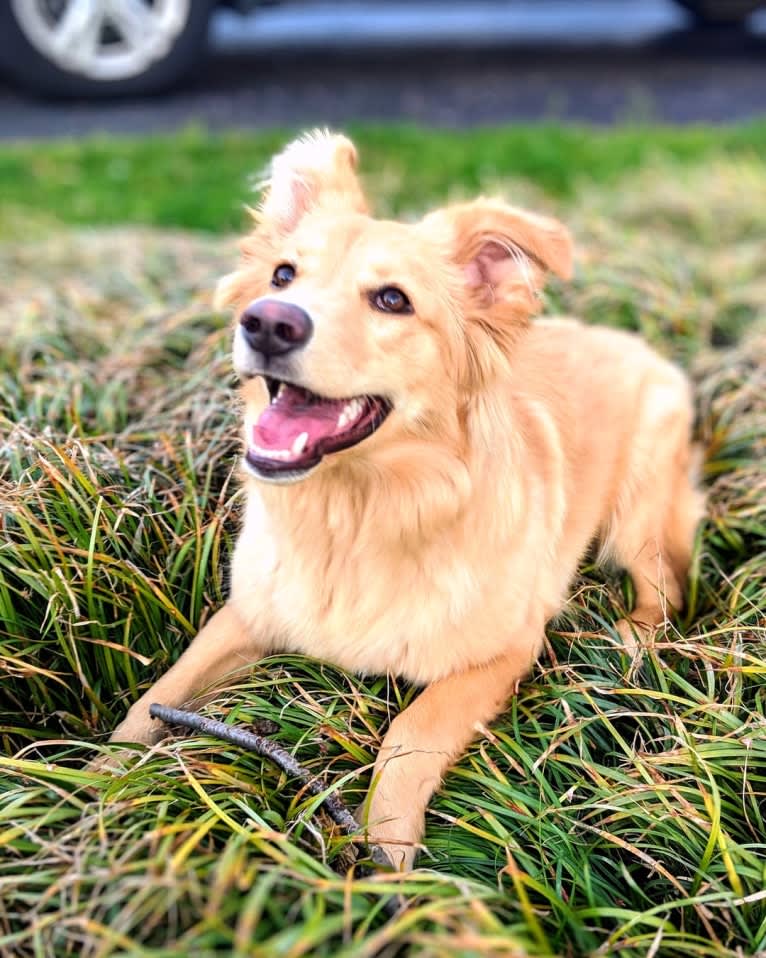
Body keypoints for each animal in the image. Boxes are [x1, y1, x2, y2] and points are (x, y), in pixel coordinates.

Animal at [109, 131, 708, 872]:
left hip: (637, 514)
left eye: (392, 300)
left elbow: (409, 730)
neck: (356, 517)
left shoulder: (505, 648)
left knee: (665, 587)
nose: (268, 324)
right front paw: (88, 782)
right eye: (282, 276)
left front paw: (389, 866)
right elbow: (157, 695)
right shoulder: (246, 614)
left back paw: (630, 640)